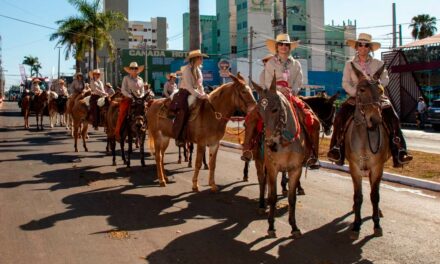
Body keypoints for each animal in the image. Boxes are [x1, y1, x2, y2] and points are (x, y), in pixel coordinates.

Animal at [251, 77, 306, 239]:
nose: (270, 144)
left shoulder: (296, 170)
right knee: (262, 182)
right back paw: (262, 205)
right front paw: (271, 227)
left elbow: (292, 199)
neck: (286, 143)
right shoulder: (272, 168)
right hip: (260, 162)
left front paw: (294, 227)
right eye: (259, 112)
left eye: (275, 109)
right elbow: (273, 197)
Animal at [346, 63, 390, 239]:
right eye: (362, 89)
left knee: (373, 190)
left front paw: (376, 225)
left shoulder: (378, 167)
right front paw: (356, 225)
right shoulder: (354, 168)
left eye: (381, 90)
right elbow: (358, 197)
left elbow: (375, 196)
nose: (376, 120)